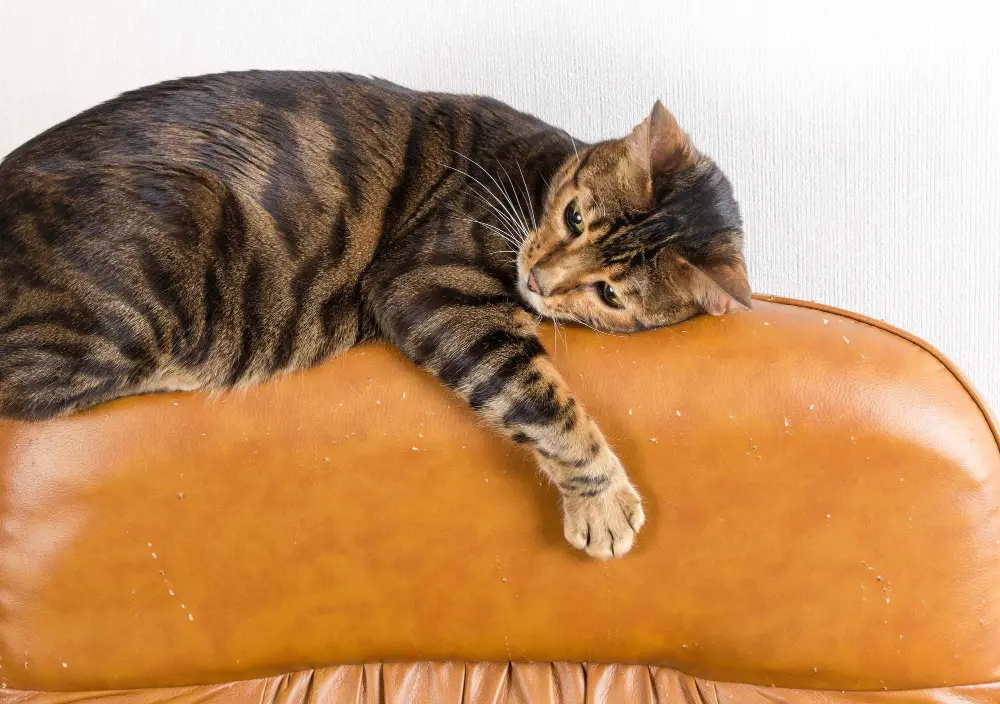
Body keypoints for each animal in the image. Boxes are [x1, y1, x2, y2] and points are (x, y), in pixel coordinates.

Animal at [0, 71, 752, 556]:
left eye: (610, 295)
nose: (538, 280)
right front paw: (602, 499)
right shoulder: (430, 284)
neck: (534, 177)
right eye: (572, 217)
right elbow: (542, 398)